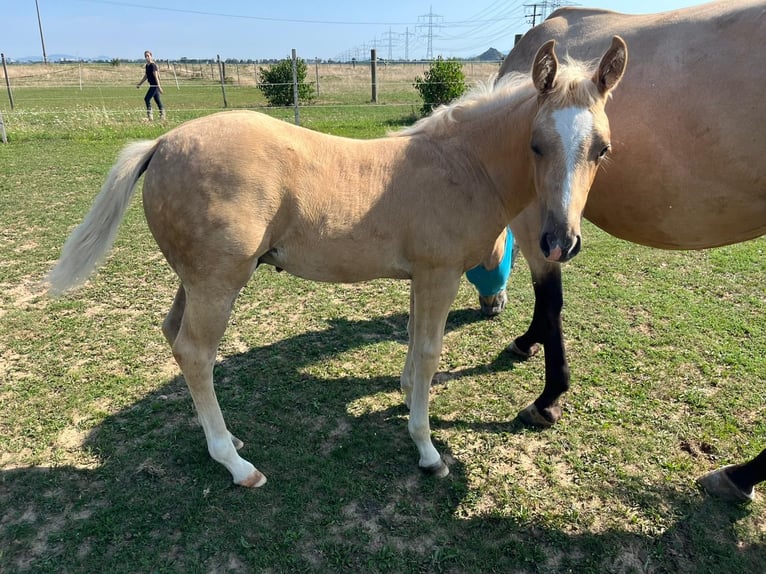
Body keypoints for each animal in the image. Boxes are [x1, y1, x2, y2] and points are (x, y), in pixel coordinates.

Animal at [46, 38, 627, 487]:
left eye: (602, 148)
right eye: (536, 145)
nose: (561, 241)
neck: (462, 164)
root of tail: (162, 142)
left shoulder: (419, 277)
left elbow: (412, 344)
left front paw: (405, 397)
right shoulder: (439, 276)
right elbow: (430, 353)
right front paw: (427, 450)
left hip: (194, 280)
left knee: (173, 334)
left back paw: (227, 436)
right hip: (218, 284)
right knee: (194, 352)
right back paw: (235, 463)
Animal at [493, 2, 765, 437]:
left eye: (603, 149)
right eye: (535, 145)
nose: (492, 306)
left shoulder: (536, 220)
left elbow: (549, 298)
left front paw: (549, 397)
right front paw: (529, 343)